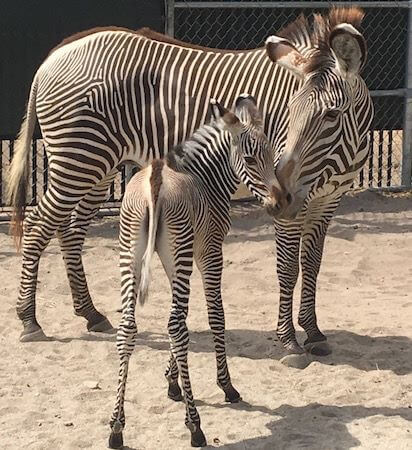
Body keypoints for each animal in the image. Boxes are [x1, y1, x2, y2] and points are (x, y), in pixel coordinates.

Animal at [7, 7, 374, 362]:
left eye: (331, 115)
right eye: (289, 111)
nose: (281, 196)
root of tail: (54, 55)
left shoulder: (327, 202)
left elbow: (312, 266)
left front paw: (314, 333)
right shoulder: (296, 204)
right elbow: (287, 267)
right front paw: (289, 342)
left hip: (99, 167)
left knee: (69, 230)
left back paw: (90, 313)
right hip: (78, 159)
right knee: (39, 226)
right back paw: (29, 319)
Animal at [108, 95, 276, 446]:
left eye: (270, 155)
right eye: (251, 159)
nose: (280, 203)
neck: (205, 176)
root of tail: (155, 179)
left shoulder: (173, 259)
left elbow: (184, 316)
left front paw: (172, 382)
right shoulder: (208, 250)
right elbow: (216, 315)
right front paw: (225, 385)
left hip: (129, 251)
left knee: (130, 327)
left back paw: (116, 427)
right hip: (181, 251)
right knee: (174, 326)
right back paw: (195, 426)